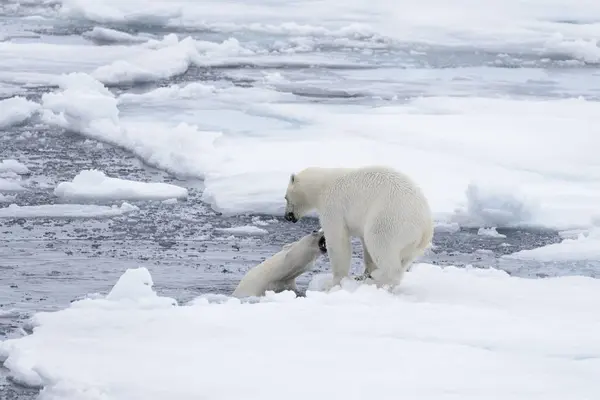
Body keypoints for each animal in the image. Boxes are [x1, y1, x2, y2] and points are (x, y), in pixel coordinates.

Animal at [284, 164, 434, 290]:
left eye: (286, 197)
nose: (287, 217)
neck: (322, 186)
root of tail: (426, 227)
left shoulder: (333, 205)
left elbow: (338, 241)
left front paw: (334, 282)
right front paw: (363, 274)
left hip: (390, 219)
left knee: (380, 243)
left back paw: (378, 281)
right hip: (413, 244)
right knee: (404, 258)